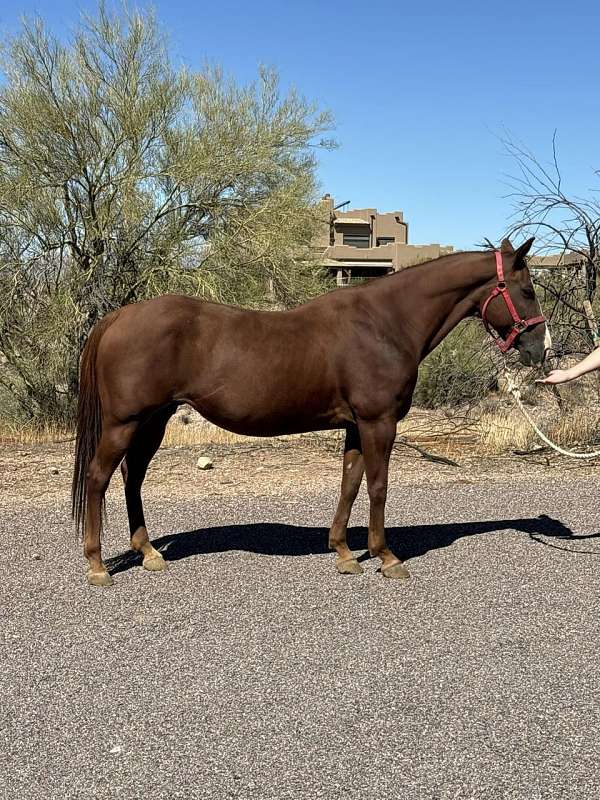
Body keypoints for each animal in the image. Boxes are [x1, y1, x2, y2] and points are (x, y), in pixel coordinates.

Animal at [71, 234, 548, 584]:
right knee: (98, 478)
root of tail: (117, 317)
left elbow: (350, 484)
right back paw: (96, 565)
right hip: (124, 422)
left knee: (132, 477)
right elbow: (378, 487)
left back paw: (148, 552)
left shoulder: (357, 426)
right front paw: (387, 557)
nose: (539, 349)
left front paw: (344, 552)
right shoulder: (378, 423)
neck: (385, 322)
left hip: (153, 420)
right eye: (526, 290)